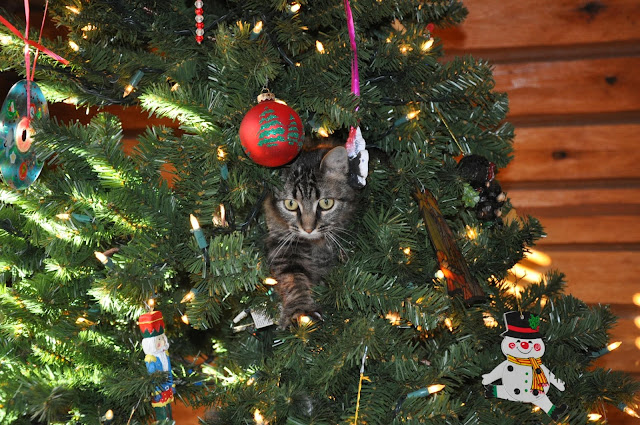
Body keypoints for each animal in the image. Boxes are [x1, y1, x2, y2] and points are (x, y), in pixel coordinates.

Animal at [262, 144, 358, 326]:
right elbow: (293, 279)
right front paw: (301, 311)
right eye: (290, 204)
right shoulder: (283, 246)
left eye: (326, 203)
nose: (308, 229)